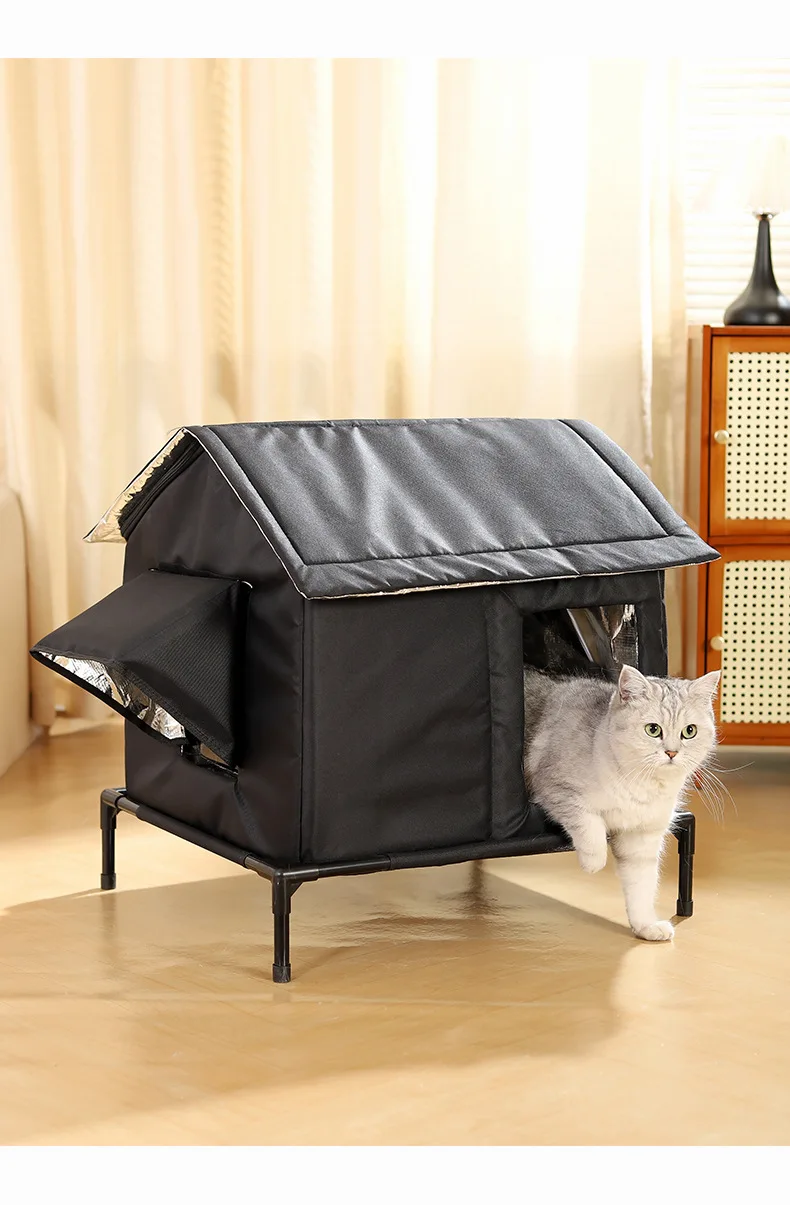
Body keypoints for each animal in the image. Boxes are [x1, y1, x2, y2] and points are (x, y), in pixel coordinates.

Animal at [523, 663, 720, 941]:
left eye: (689, 731)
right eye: (653, 729)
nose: (672, 752)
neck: (641, 784)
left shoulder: (642, 839)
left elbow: (642, 886)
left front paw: (646, 926)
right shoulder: (557, 788)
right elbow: (590, 823)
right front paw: (593, 862)